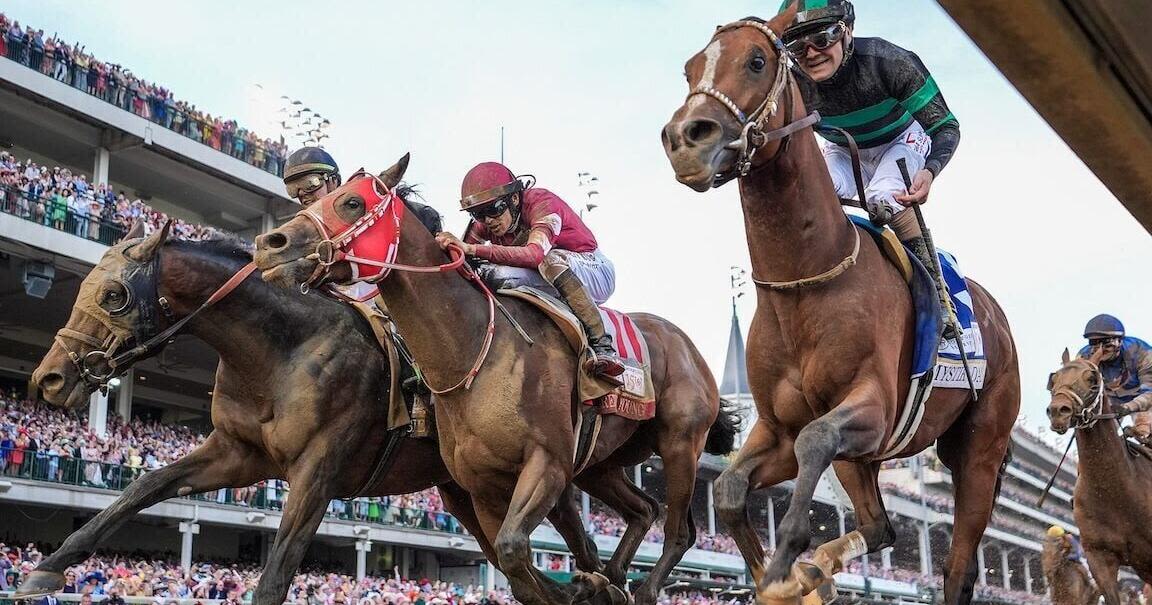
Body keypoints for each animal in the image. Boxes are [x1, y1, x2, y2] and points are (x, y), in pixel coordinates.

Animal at [20, 224, 603, 603]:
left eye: (113, 295)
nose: (49, 378)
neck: (282, 349)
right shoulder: (238, 453)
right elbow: (144, 486)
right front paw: (46, 569)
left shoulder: (317, 470)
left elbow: (276, 572)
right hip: (464, 490)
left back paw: (589, 583)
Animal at [252, 156, 737, 603]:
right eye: (311, 199)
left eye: (351, 202)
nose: (270, 243)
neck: (473, 351)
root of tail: (685, 344)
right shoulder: (482, 485)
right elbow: (516, 568)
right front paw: (586, 586)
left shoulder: (547, 464)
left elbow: (514, 550)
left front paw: (585, 586)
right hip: (600, 464)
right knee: (643, 510)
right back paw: (615, 577)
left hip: (679, 442)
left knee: (678, 529)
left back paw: (642, 586)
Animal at [663, 9, 1022, 603]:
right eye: (690, 68)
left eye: (756, 61)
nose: (685, 139)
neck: (805, 282)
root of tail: (999, 322)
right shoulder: (776, 429)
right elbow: (732, 487)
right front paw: (780, 575)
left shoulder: (871, 407)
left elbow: (816, 439)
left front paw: (787, 563)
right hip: (865, 460)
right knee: (881, 526)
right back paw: (819, 572)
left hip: (978, 450)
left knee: (957, 569)